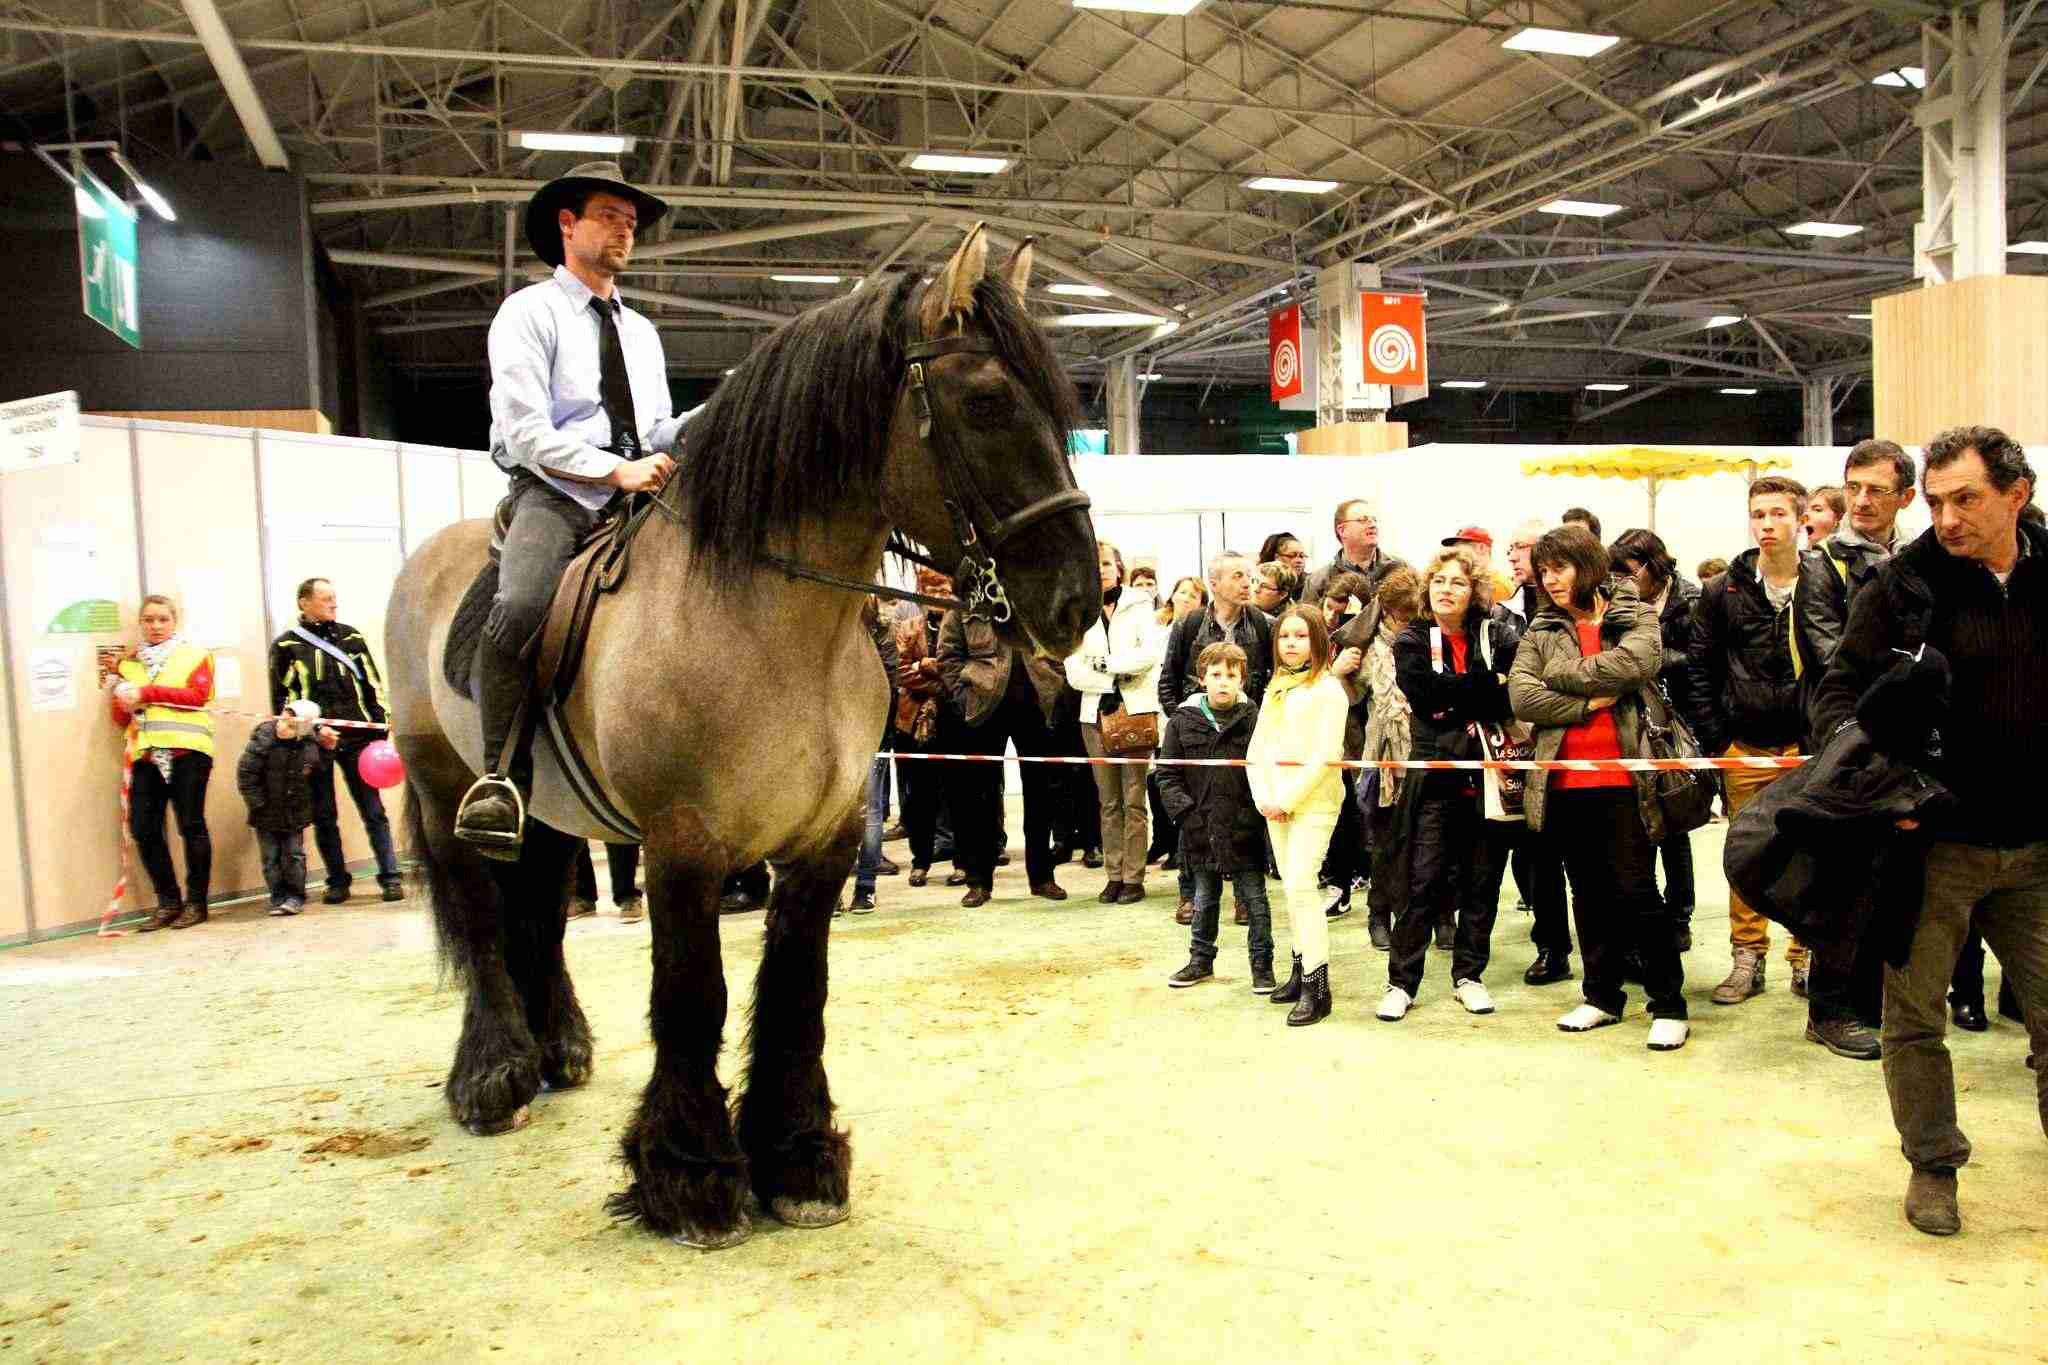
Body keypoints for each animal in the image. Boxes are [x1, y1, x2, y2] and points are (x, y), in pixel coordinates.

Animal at [376, 227, 1097, 1252]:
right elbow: (694, 993)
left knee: (539, 913)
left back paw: (560, 1046)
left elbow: (797, 989)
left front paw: (796, 1157)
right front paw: (692, 1174)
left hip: (543, 809)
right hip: (444, 788)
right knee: (479, 916)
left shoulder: (822, 843)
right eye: (989, 401)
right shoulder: (684, 846)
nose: (1079, 599)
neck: (767, 622)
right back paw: (495, 1073)